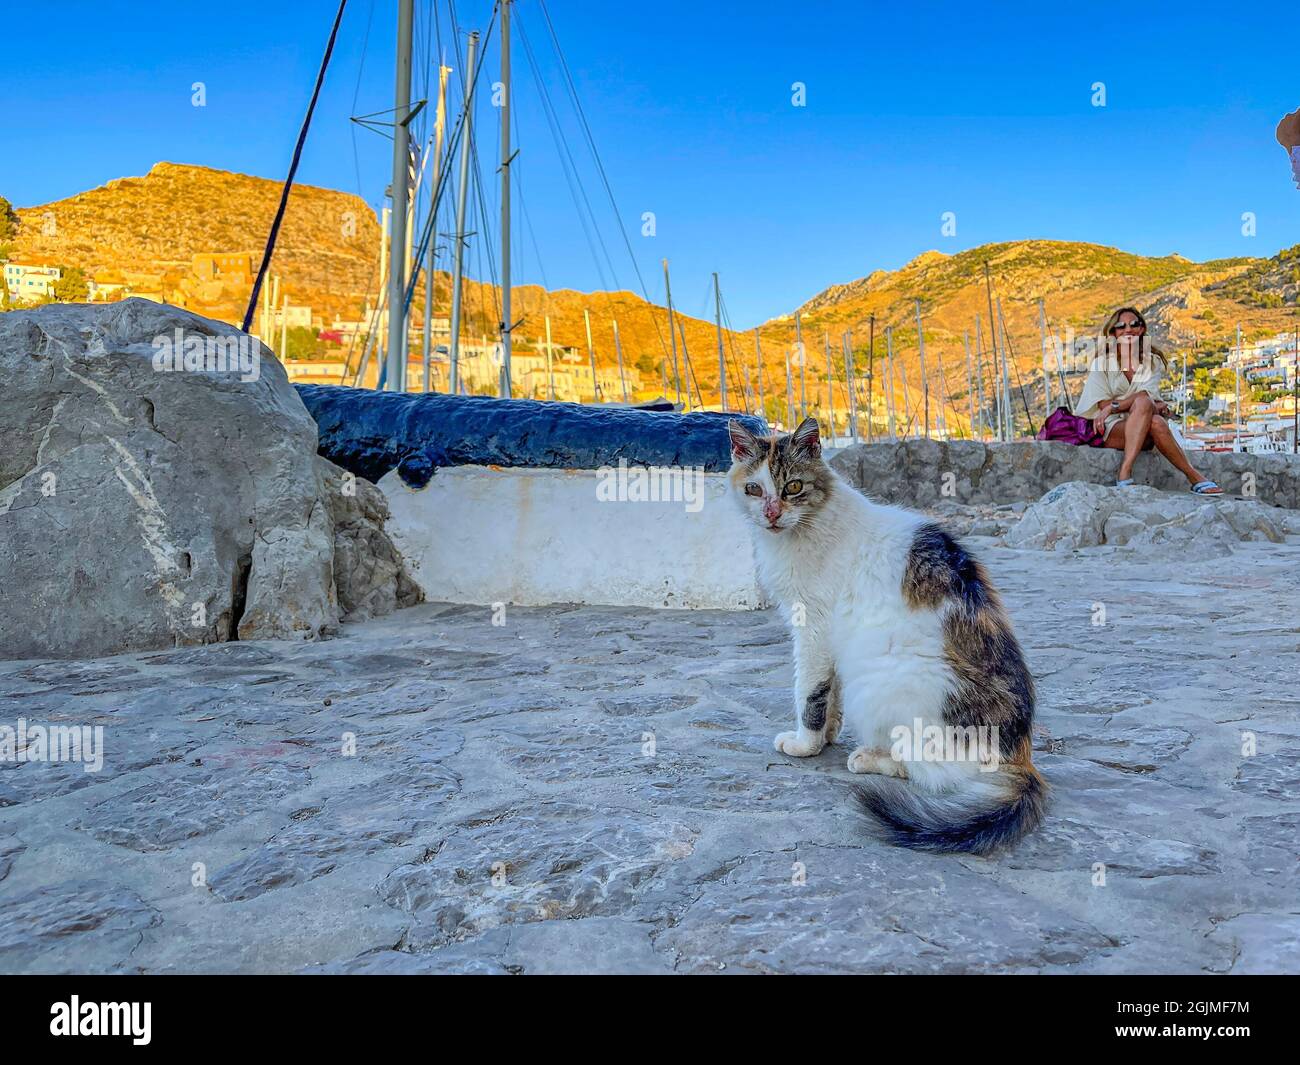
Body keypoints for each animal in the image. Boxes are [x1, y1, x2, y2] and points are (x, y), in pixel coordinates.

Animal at [733, 416, 1045, 858]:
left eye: (793, 486)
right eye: (754, 489)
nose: (771, 513)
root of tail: (1019, 755)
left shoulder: (813, 629)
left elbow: (809, 694)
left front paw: (805, 743)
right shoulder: (832, 644)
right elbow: (830, 694)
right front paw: (827, 735)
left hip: (884, 679)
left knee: (927, 768)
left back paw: (868, 758)